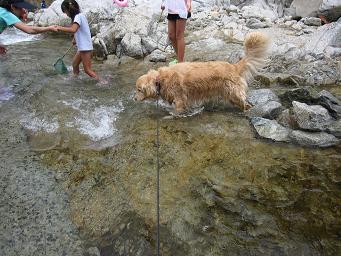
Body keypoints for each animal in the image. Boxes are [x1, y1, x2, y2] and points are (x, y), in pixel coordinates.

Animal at [134, 31, 270, 113]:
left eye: (139, 90)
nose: (134, 99)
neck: (160, 79)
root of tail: (233, 66)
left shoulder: (180, 99)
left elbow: (177, 111)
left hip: (234, 93)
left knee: (245, 103)